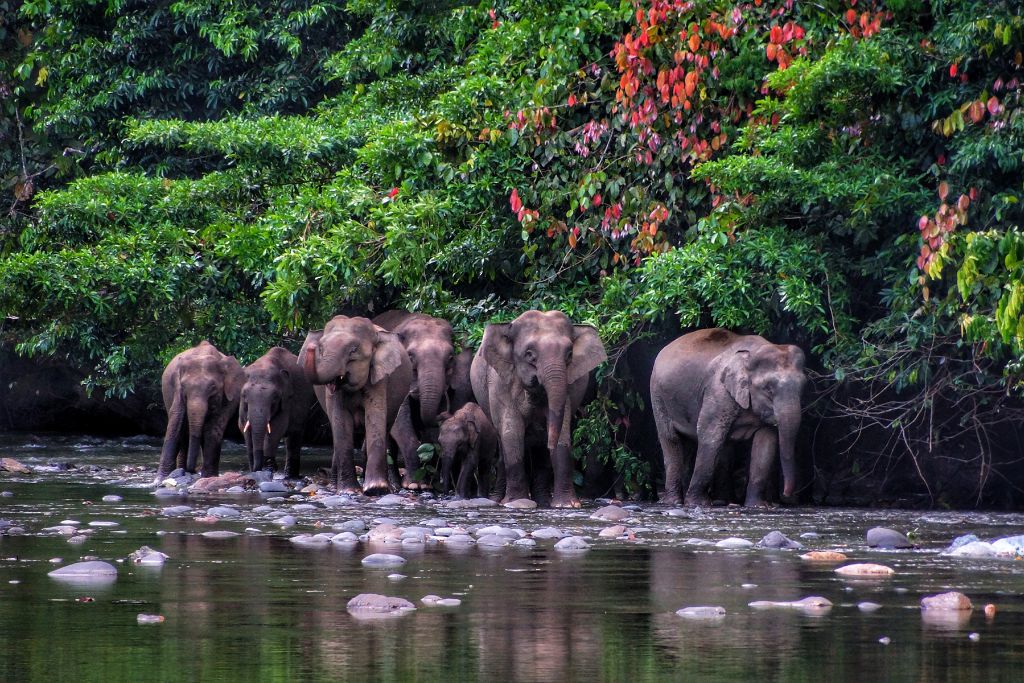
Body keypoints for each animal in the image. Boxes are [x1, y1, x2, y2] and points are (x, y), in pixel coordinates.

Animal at [154, 339, 244, 481]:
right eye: (184, 387)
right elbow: (176, 421)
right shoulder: (177, 391)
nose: (193, 469)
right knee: (184, 432)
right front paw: (160, 479)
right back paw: (180, 471)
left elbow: (213, 428)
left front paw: (208, 477)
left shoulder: (229, 397)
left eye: (213, 388)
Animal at [299, 315, 409, 497]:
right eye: (320, 348)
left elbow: (375, 415)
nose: (312, 347)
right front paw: (349, 491)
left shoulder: (379, 376)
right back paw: (333, 487)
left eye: (353, 350)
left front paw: (375, 489)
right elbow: (340, 421)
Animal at [372, 309, 456, 491]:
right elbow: (400, 422)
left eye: (450, 357)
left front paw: (427, 484)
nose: (446, 413)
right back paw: (394, 484)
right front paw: (414, 485)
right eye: (410, 356)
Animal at [473, 309, 606, 507]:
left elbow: (562, 432)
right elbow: (511, 433)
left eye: (569, 354)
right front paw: (516, 502)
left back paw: (542, 502)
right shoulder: (500, 383)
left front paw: (567, 505)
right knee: (502, 443)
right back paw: (498, 500)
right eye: (529, 354)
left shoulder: (568, 388)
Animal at [647, 325, 806, 507]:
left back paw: (721, 501)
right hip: (658, 396)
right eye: (768, 389)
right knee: (671, 439)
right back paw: (675, 502)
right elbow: (710, 435)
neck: (750, 355)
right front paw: (698, 503)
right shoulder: (718, 391)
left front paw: (758, 505)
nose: (786, 495)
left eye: (803, 387)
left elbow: (766, 443)